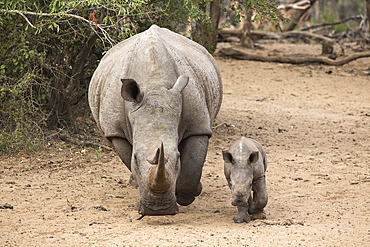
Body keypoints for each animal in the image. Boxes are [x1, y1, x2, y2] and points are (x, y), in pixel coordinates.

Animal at [89, 24, 223, 215]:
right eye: (136, 158)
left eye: (178, 157)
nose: (158, 210)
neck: (154, 84)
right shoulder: (115, 131)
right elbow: (128, 158)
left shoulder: (198, 126)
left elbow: (192, 169)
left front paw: (187, 196)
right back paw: (133, 183)